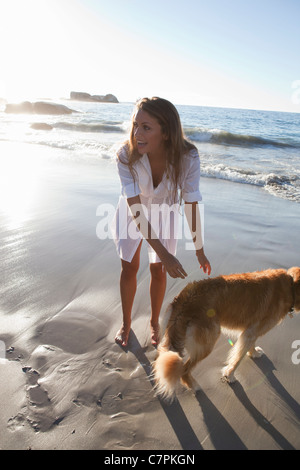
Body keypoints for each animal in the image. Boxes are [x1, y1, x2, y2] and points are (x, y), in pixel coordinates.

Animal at [154, 266, 298, 398]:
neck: (290, 285)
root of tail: (185, 298)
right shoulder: (250, 332)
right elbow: (237, 358)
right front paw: (230, 375)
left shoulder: (251, 330)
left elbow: (249, 347)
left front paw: (254, 353)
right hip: (208, 342)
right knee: (184, 370)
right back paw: (194, 386)